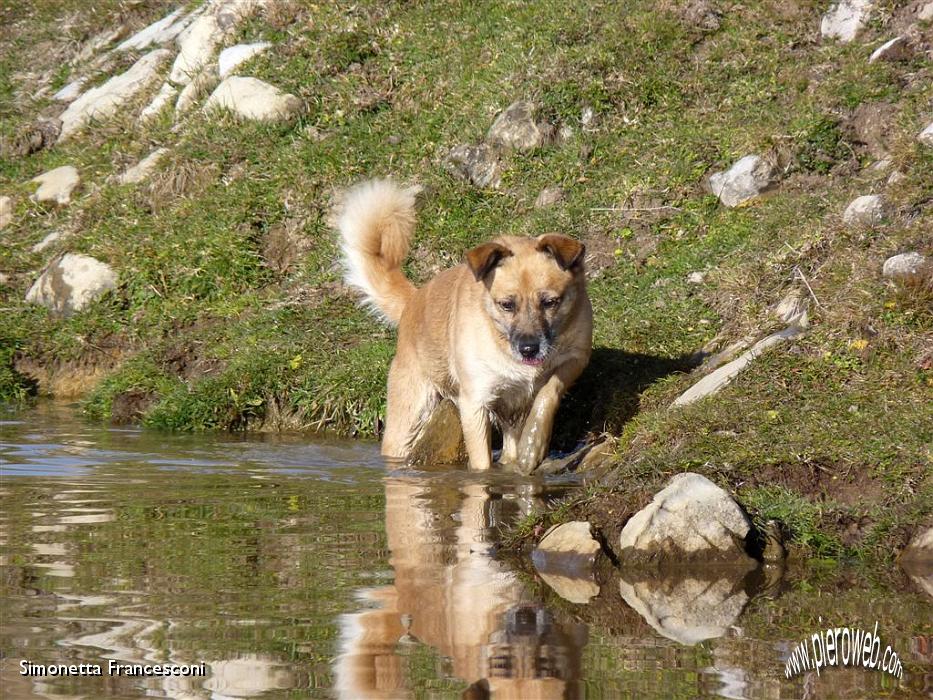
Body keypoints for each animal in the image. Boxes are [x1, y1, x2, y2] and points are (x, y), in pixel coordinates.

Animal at [338, 180, 592, 474]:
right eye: (506, 305)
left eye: (550, 302)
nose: (528, 349)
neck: (502, 342)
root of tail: (413, 300)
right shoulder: (475, 403)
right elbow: (481, 463)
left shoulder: (576, 358)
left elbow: (549, 390)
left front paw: (534, 445)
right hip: (409, 418)